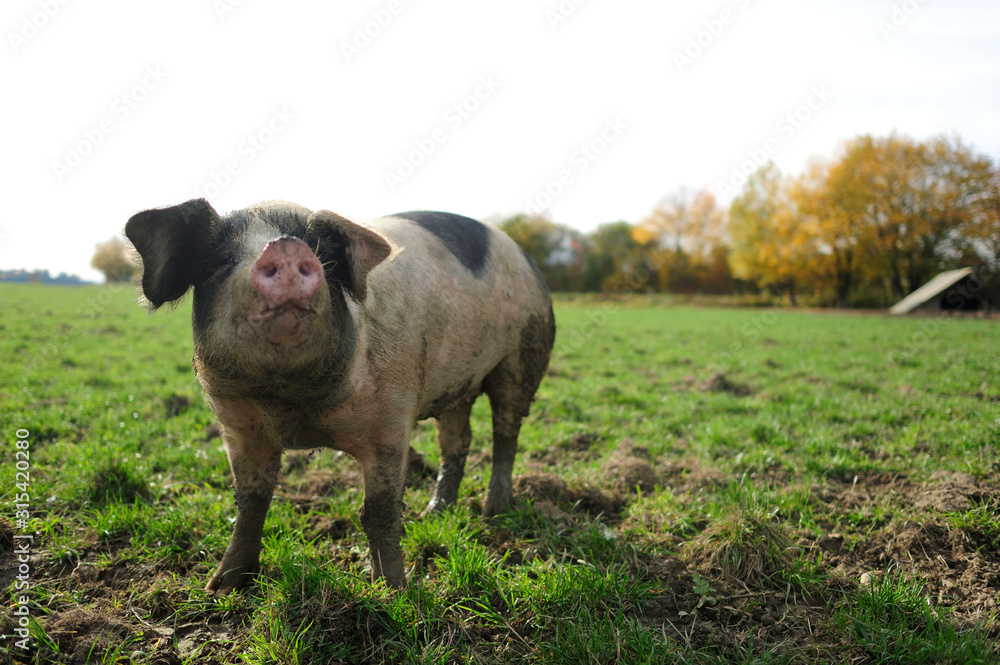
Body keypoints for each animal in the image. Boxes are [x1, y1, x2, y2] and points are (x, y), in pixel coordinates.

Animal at [124, 197, 556, 592]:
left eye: (320, 254)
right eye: (224, 259)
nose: (285, 247)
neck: (291, 402)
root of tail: (524, 255)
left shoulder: (391, 420)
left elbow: (378, 512)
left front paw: (394, 592)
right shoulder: (238, 426)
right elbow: (250, 503)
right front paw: (221, 587)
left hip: (524, 355)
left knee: (505, 433)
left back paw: (494, 510)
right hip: (457, 385)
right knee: (457, 442)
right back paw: (435, 513)